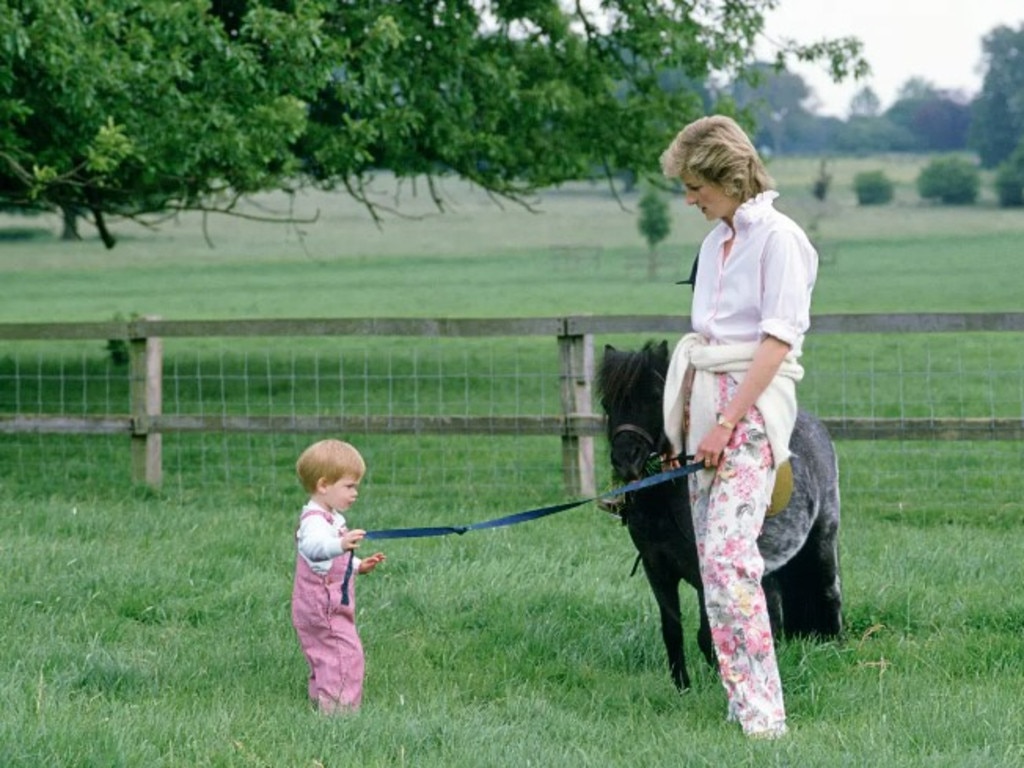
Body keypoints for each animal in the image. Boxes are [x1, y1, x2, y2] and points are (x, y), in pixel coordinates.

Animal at [598, 342, 839, 692]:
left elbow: (708, 635)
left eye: (656, 397)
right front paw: (682, 688)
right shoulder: (657, 569)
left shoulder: (702, 573)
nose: (626, 460)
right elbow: (673, 630)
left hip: (823, 538)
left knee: (829, 592)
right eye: (608, 402)